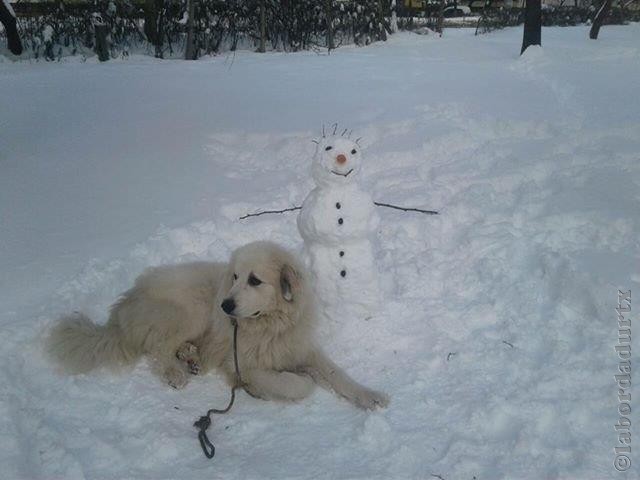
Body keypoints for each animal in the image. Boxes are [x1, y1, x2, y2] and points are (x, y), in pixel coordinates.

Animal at [47, 240, 388, 408]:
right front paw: (292, 381)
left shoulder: (301, 347)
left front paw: (369, 395)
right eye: (235, 276)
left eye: (254, 280)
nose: (225, 306)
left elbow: (336, 373)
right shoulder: (244, 365)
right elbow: (298, 385)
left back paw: (190, 356)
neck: (270, 326)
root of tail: (127, 301)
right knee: (157, 347)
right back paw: (176, 371)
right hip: (192, 310)